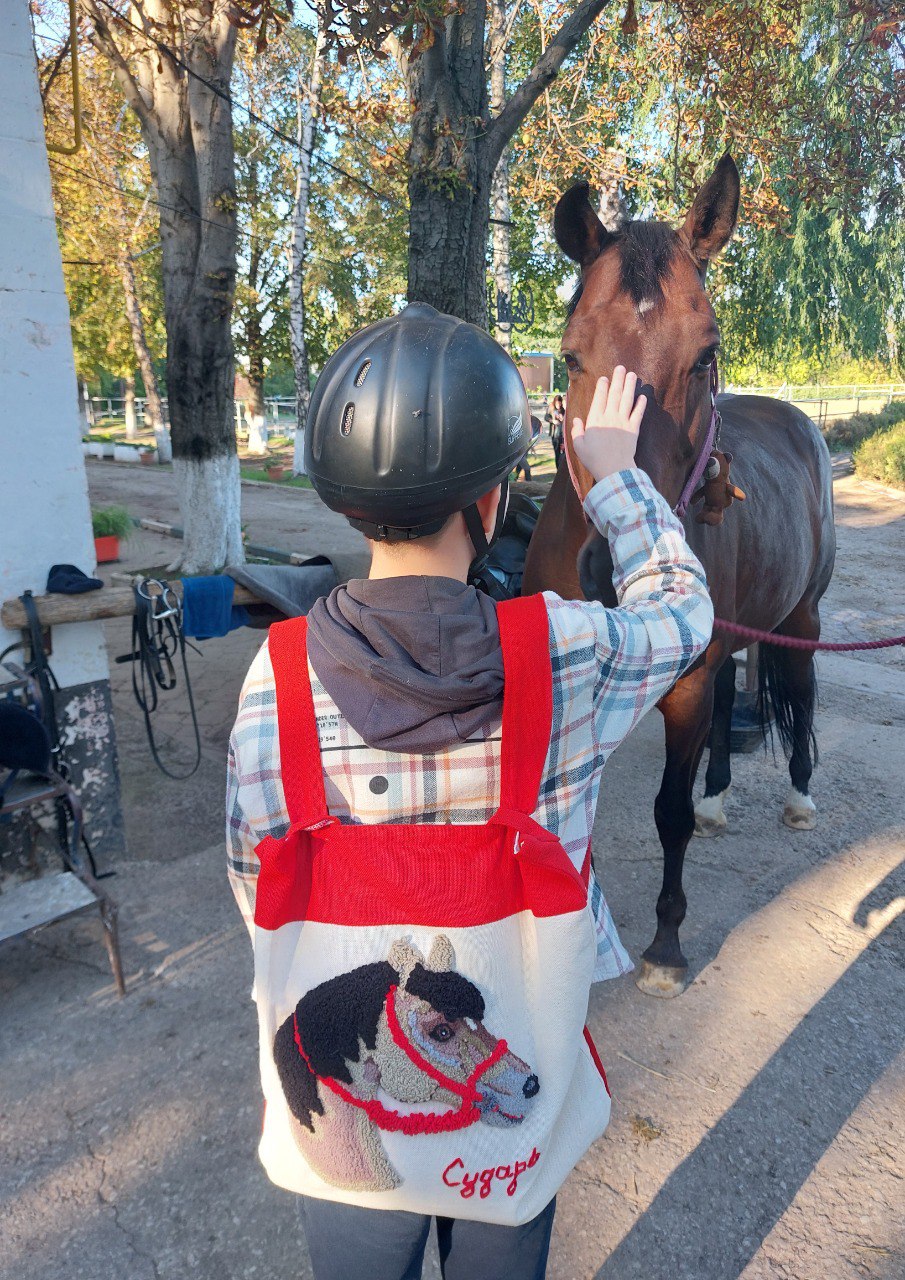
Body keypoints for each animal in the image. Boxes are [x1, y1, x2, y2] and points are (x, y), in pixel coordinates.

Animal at [524, 154, 834, 998]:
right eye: (570, 355)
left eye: (704, 354)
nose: (610, 572)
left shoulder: (685, 687)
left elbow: (665, 810)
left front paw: (664, 946)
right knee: (735, 693)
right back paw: (719, 801)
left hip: (801, 618)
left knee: (797, 693)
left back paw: (797, 795)